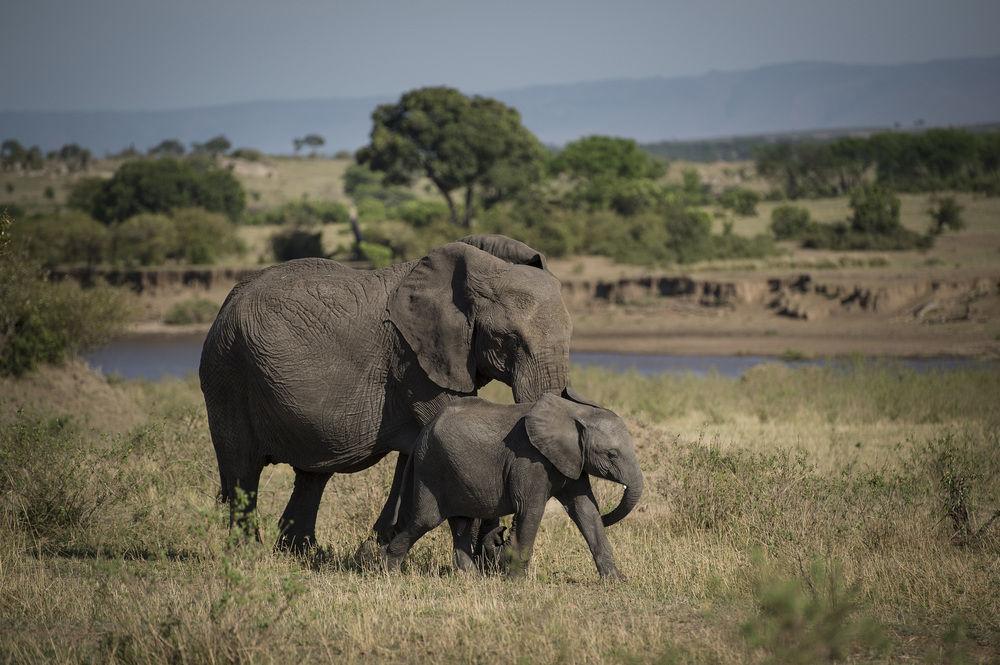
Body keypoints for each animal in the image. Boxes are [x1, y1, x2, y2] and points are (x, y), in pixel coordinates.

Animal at [199, 233, 572, 548]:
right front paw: (488, 553)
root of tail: (227, 301)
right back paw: (248, 553)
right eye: (509, 339)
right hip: (228, 371)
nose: (502, 541)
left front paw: (375, 549)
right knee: (243, 471)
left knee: (311, 475)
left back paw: (301, 553)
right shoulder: (412, 359)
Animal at [382, 390, 640, 576]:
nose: (609, 515)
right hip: (431, 467)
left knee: (461, 523)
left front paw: (615, 580)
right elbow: (530, 510)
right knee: (426, 520)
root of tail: (422, 433)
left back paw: (471, 578)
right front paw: (517, 581)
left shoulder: (571, 460)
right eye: (612, 454)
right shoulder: (530, 460)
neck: (575, 412)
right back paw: (390, 572)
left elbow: (586, 511)